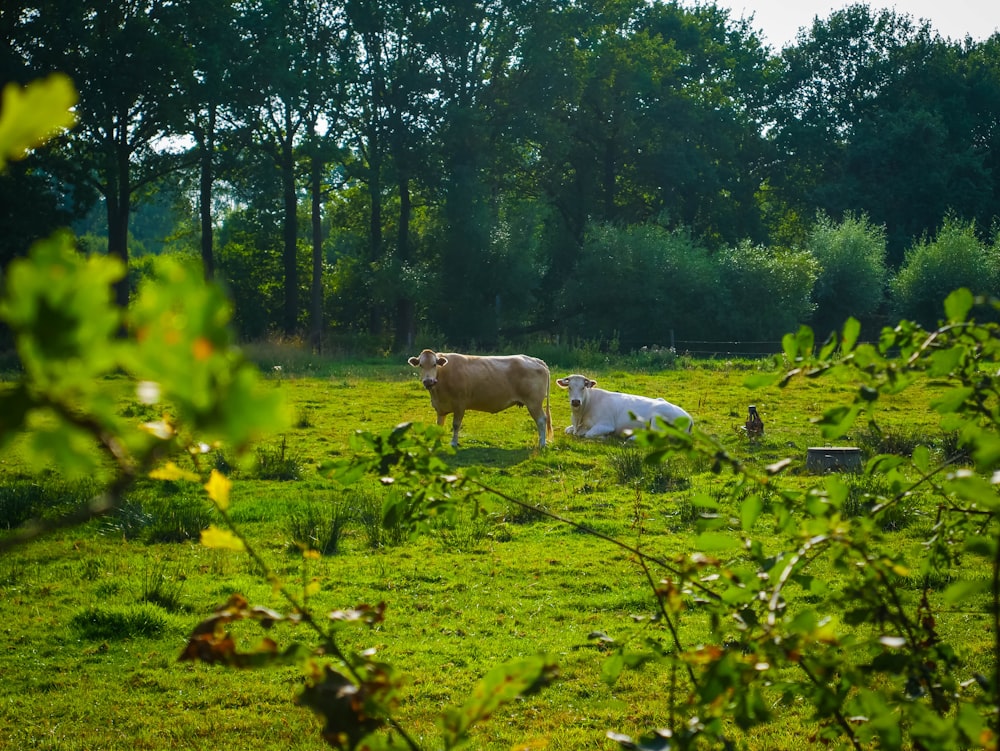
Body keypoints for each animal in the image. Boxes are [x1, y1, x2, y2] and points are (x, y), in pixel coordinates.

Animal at [404, 352, 556, 450]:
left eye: (435, 364)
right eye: (421, 365)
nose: (428, 381)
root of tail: (535, 360)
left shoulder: (460, 404)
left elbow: (456, 425)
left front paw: (453, 443)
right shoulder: (440, 408)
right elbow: (439, 426)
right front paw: (437, 443)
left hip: (534, 402)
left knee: (541, 420)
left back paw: (542, 444)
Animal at [556, 374, 696, 438]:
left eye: (583, 387)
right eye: (569, 387)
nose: (575, 401)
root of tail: (688, 417)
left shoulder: (606, 424)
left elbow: (588, 434)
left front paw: (604, 437)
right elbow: (568, 430)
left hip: (658, 420)